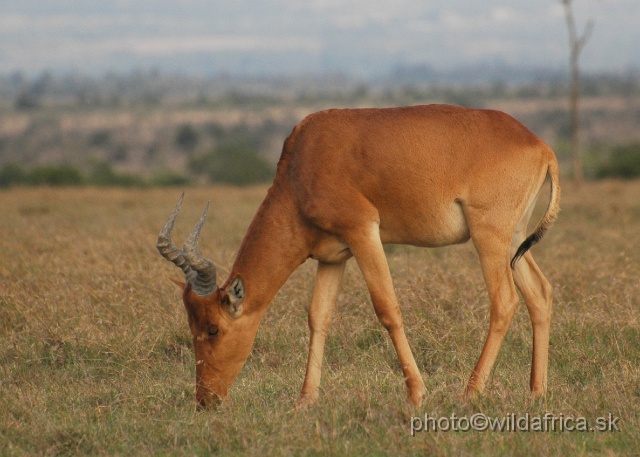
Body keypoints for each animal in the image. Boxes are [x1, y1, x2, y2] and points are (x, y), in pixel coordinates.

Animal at [159, 105, 560, 408]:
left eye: (213, 328)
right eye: (192, 326)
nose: (206, 400)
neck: (306, 157)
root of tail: (541, 146)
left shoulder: (364, 232)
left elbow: (387, 309)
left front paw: (417, 394)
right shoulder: (333, 256)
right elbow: (318, 316)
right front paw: (305, 400)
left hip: (488, 236)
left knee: (504, 300)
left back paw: (470, 393)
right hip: (514, 241)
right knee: (540, 293)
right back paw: (536, 392)